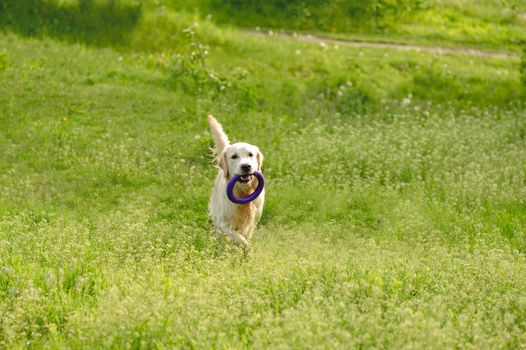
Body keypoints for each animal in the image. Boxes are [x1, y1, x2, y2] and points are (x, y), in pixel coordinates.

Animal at [208, 115, 266, 246]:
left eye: (250, 154)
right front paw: (245, 248)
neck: (243, 192)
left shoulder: (253, 222)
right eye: (234, 156)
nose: (246, 166)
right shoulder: (223, 224)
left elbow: (245, 237)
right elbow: (239, 238)